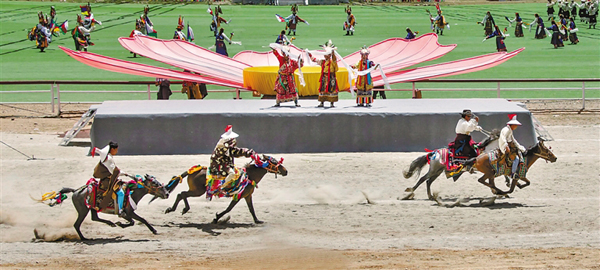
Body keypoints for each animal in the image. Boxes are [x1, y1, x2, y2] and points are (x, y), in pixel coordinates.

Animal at [37, 175, 169, 240]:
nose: (167, 193)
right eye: (155, 183)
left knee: (94, 218)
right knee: (77, 224)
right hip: (83, 210)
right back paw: (85, 238)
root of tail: (75, 191)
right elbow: (135, 221)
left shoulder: (129, 213)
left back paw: (111, 223)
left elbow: (140, 220)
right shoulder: (127, 213)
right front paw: (121, 224)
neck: (132, 192)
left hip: (91, 208)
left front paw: (154, 230)